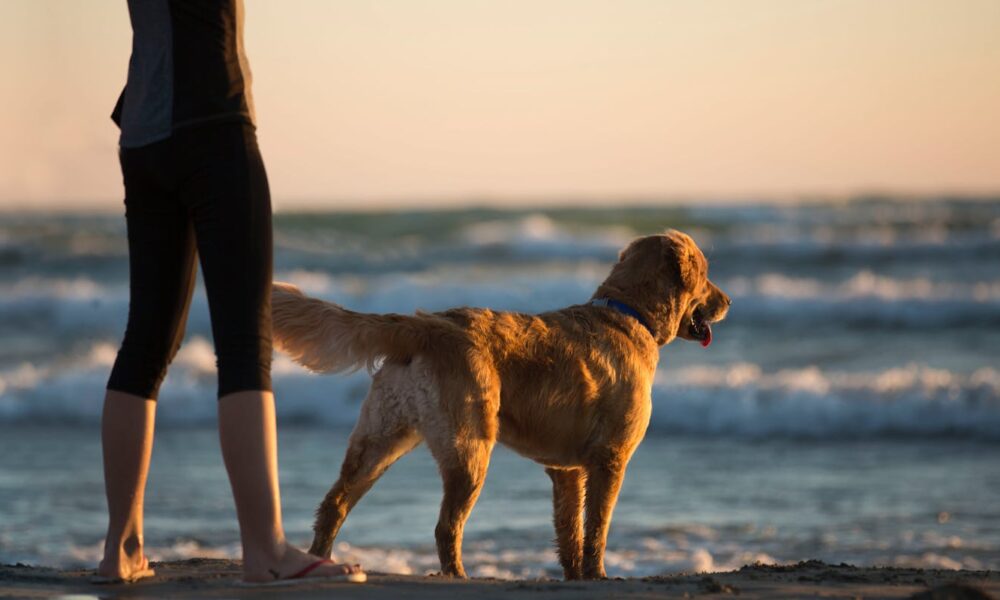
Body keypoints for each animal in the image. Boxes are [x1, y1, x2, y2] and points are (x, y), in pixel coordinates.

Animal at [270, 230, 732, 580]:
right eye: (707, 274)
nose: (727, 302)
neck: (628, 313)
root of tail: (425, 324)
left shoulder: (567, 470)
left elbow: (570, 531)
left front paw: (574, 576)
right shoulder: (610, 459)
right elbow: (596, 528)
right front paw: (598, 575)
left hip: (380, 438)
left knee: (334, 504)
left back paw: (320, 562)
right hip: (469, 448)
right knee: (445, 526)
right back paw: (457, 576)